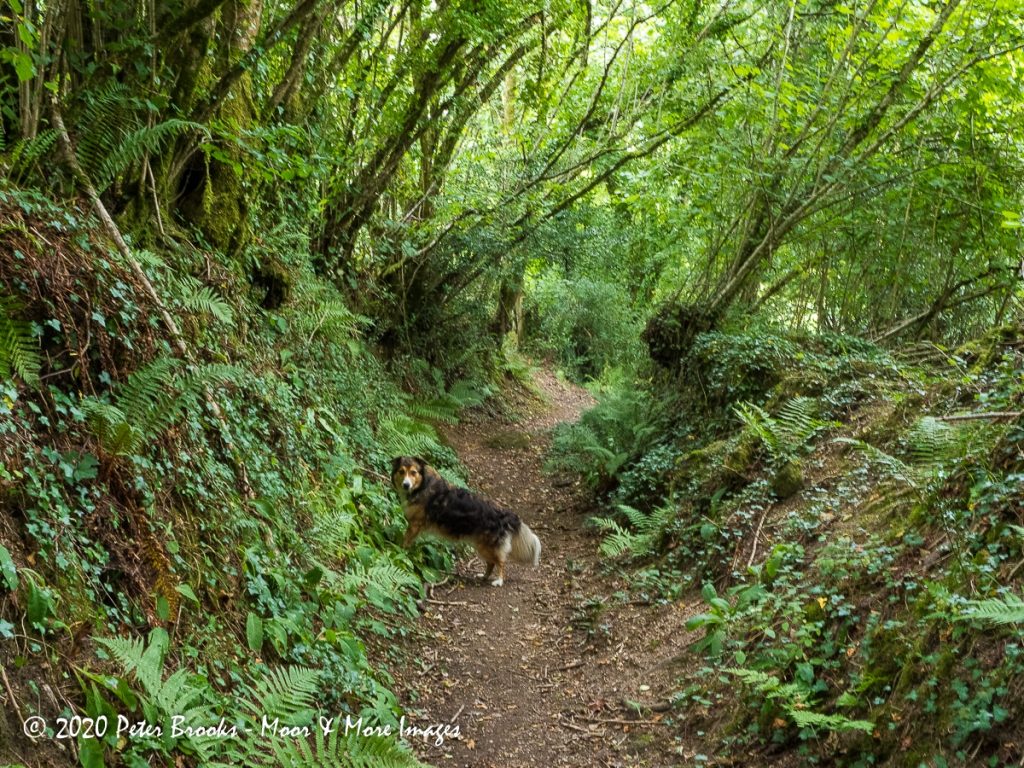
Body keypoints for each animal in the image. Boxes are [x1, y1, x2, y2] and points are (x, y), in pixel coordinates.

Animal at [389, 454, 544, 585]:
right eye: (401, 471)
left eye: (413, 472)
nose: (406, 485)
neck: (422, 485)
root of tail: (504, 513)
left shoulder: (415, 524)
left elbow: (405, 542)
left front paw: (401, 552)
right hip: (482, 545)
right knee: (491, 563)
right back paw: (484, 577)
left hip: (488, 546)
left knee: (500, 562)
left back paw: (499, 581)